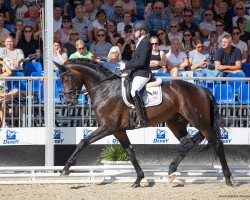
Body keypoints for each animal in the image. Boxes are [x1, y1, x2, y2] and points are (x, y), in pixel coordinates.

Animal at [54, 58, 232, 187]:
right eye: (61, 80)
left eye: (67, 78)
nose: (69, 102)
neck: (104, 89)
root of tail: (202, 89)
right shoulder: (118, 130)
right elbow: (130, 153)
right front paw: (138, 179)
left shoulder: (107, 127)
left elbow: (83, 142)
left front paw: (66, 168)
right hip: (176, 123)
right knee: (187, 143)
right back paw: (171, 171)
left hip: (199, 120)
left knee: (217, 143)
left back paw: (228, 178)